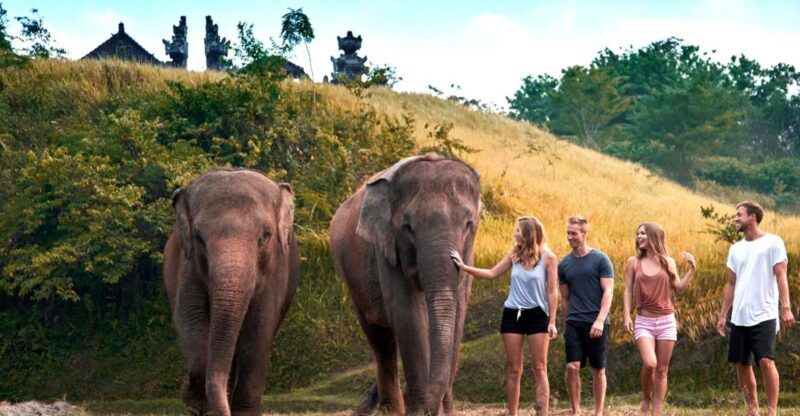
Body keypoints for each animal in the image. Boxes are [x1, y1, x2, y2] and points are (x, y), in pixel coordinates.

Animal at [163, 168, 300, 416]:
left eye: (264, 236)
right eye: (199, 237)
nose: (184, 388)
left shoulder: (277, 270)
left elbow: (259, 329)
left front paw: (242, 410)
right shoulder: (187, 265)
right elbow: (191, 319)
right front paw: (197, 402)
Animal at [330, 154, 481, 415]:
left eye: (468, 223)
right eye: (407, 227)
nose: (434, 409)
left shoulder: (468, 254)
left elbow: (459, 312)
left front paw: (446, 409)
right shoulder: (386, 249)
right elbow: (408, 314)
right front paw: (419, 410)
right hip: (351, 279)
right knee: (381, 339)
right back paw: (389, 409)